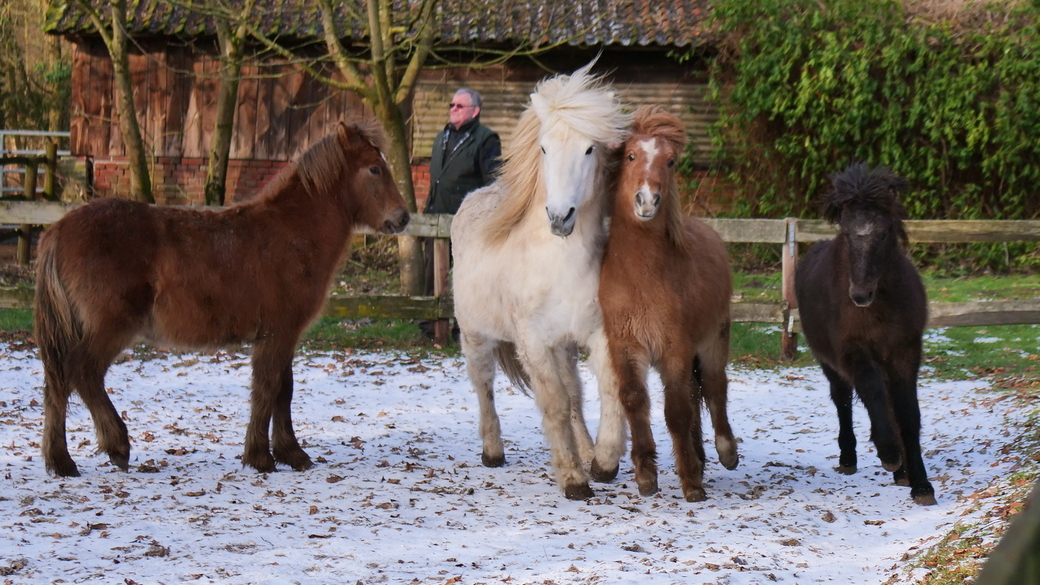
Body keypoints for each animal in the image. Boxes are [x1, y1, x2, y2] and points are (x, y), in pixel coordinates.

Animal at [36, 117, 409, 474]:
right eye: (375, 168)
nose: (403, 217)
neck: (290, 234)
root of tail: (59, 229)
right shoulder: (277, 333)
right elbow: (269, 387)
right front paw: (261, 457)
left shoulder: (284, 335)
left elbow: (284, 389)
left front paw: (290, 453)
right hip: (111, 326)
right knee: (82, 371)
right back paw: (116, 445)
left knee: (57, 383)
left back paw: (61, 462)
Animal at [451, 60, 628, 495]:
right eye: (544, 148)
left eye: (589, 148)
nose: (560, 217)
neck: (560, 266)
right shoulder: (532, 341)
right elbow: (554, 404)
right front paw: (572, 478)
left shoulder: (597, 333)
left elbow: (606, 391)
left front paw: (603, 462)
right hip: (476, 337)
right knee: (484, 387)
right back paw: (493, 451)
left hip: (563, 347)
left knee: (576, 393)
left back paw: (587, 450)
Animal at [603, 105, 740, 501]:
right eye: (631, 155)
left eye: (671, 161)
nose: (647, 200)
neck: (641, 278)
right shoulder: (625, 346)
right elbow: (635, 401)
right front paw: (646, 475)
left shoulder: (674, 348)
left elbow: (677, 411)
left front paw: (691, 482)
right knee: (696, 394)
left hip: (714, 339)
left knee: (714, 387)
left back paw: (725, 452)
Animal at [790, 161, 940, 503]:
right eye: (846, 232)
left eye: (883, 232)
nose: (859, 295)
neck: (879, 309)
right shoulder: (853, 352)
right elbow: (872, 394)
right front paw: (888, 453)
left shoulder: (905, 352)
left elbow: (908, 414)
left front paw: (921, 483)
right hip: (830, 363)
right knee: (843, 401)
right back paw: (849, 458)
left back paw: (902, 473)